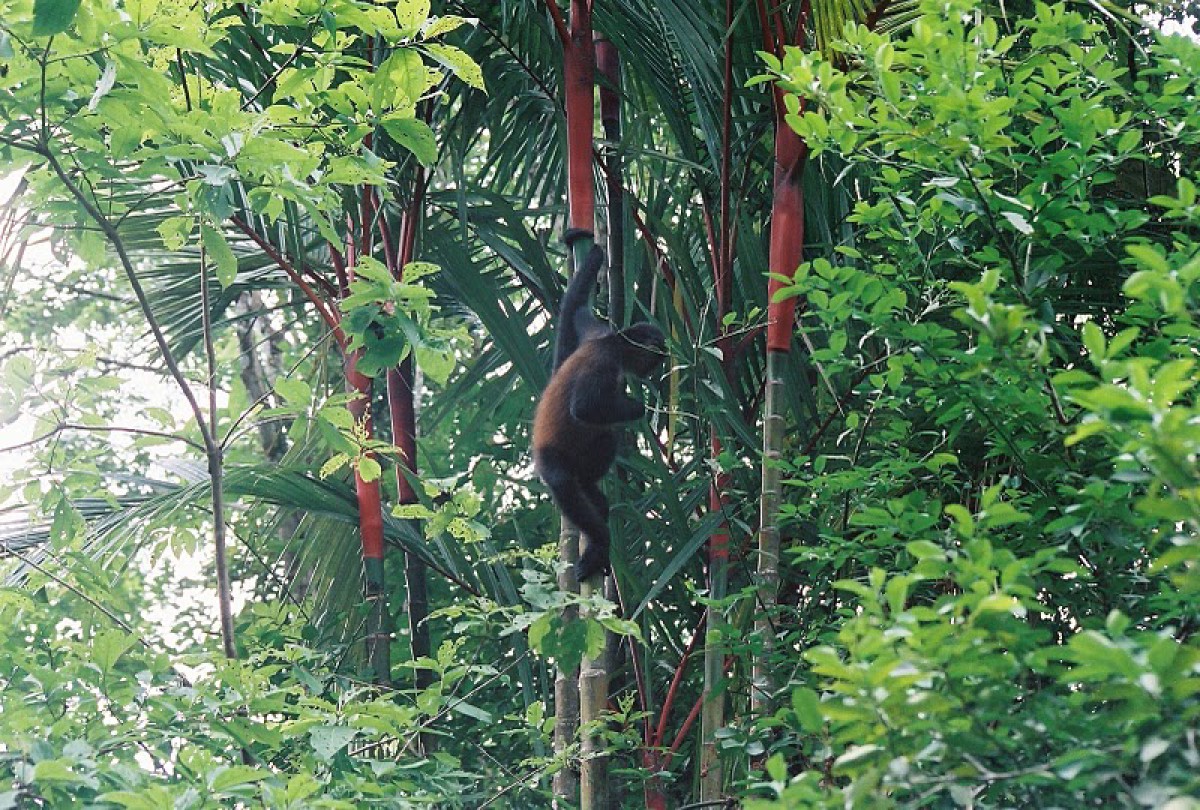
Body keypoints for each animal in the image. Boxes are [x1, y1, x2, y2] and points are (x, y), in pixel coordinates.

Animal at [533, 231, 667, 582]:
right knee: (565, 482)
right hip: (550, 458)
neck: (614, 341)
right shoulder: (605, 359)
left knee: (602, 441)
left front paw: (590, 251)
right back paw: (599, 541)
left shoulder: (598, 331)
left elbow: (574, 307)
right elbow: (584, 409)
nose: (655, 368)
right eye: (656, 356)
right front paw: (638, 408)